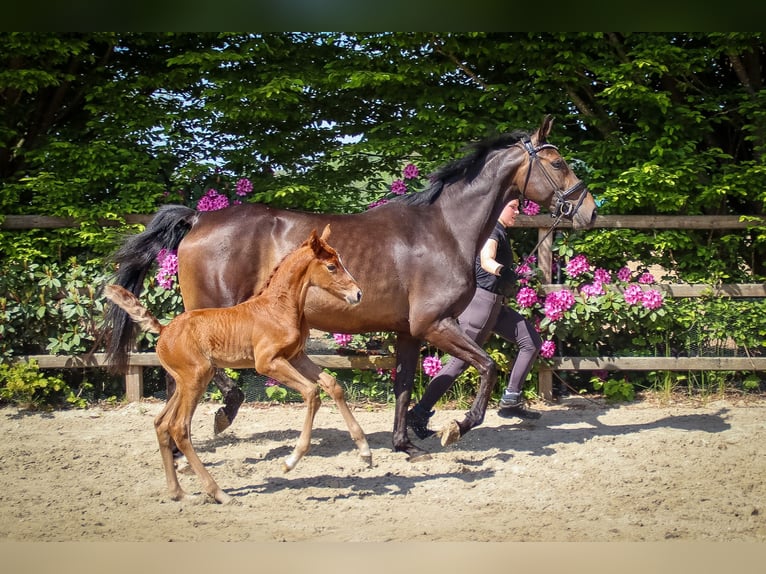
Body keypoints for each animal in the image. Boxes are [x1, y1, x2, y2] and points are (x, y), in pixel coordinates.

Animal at [104, 226, 367, 504]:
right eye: (331, 266)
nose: (358, 293)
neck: (278, 308)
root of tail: (164, 330)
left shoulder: (297, 356)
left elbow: (332, 384)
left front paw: (365, 451)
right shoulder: (267, 363)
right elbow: (311, 392)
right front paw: (291, 461)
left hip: (185, 382)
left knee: (161, 424)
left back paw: (178, 493)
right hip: (196, 378)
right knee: (179, 427)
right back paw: (218, 492)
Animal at [105, 115, 598, 462]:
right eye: (557, 162)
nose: (589, 210)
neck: (442, 229)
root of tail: (198, 219)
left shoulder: (408, 332)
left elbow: (404, 385)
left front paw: (405, 444)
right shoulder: (436, 324)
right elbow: (489, 366)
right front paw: (454, 427)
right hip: (213, 314)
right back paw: (220, 415)